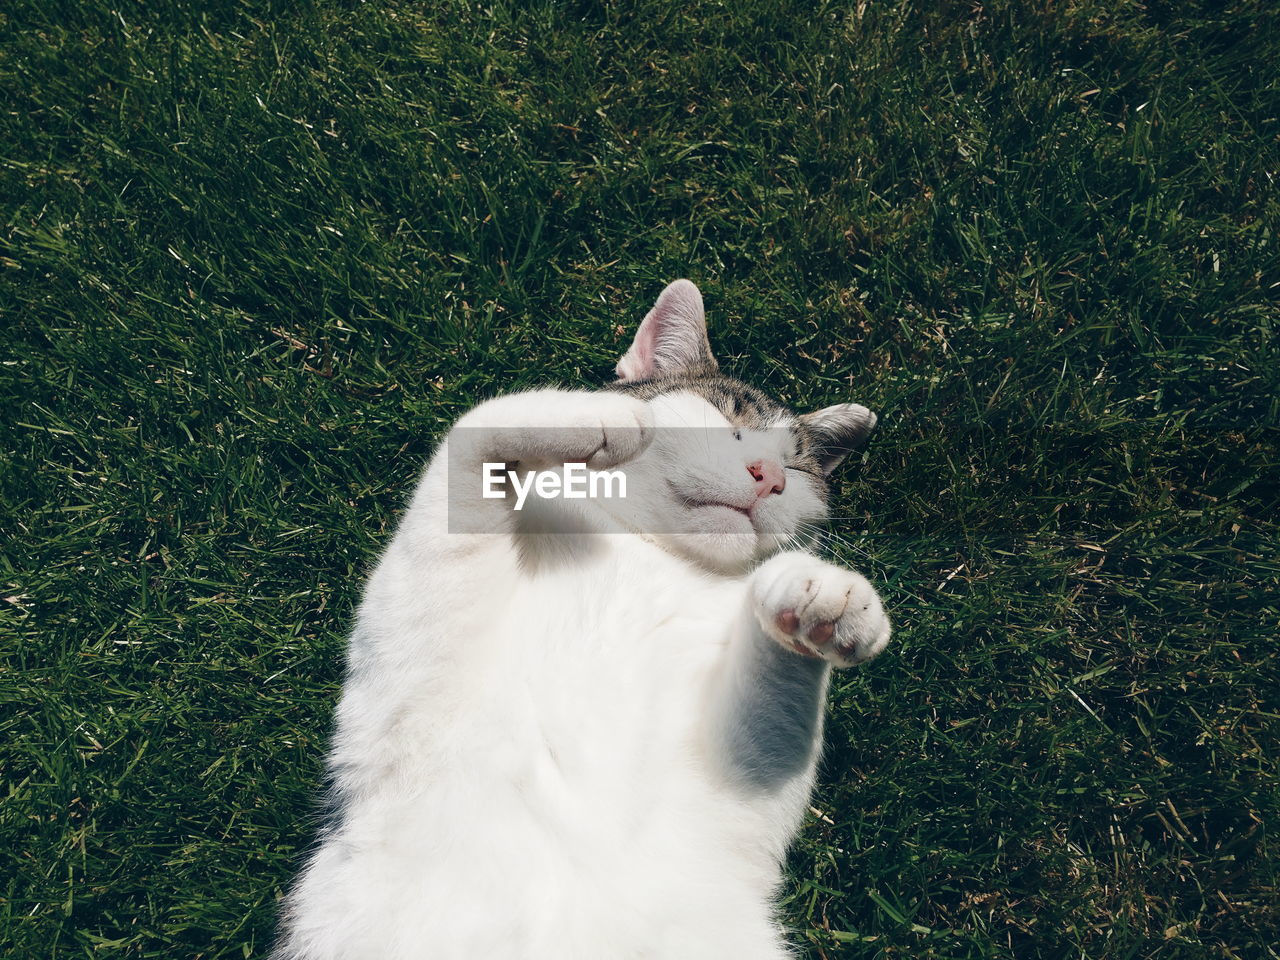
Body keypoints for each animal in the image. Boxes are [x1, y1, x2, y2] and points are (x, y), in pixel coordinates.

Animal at [270, 280, 890, 960]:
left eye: (800, 469)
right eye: (726, 421)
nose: (772, 476)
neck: (648, 553)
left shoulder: (731, 804)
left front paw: (819, 596)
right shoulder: (414, 684)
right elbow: (472, 436)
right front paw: (587, 411)